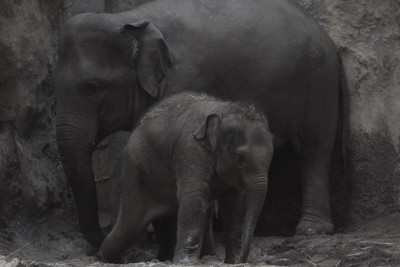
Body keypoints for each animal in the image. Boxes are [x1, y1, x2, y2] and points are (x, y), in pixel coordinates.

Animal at [99, 93, 274, 264]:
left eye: (271, 157)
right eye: (238, 158)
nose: (245, 258)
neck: (224, 110)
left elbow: (235, 205)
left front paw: (234, 261)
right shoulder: (190, 150)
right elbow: (193, 198)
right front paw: (185, 262)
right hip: (135, 169)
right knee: (132, 225)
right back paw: (106, 258)